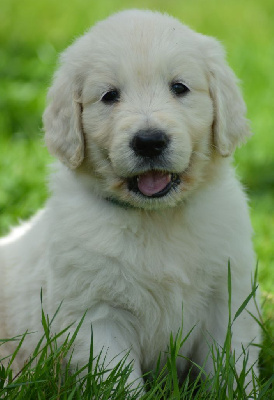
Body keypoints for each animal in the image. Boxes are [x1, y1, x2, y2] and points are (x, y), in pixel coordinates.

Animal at [0, 9, 260, 394]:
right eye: (109, 96)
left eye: (179, 88)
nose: (149, 141)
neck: (157, 219)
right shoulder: (97, 315)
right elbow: (119, 380)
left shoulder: (228, 296)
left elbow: (232, 365)